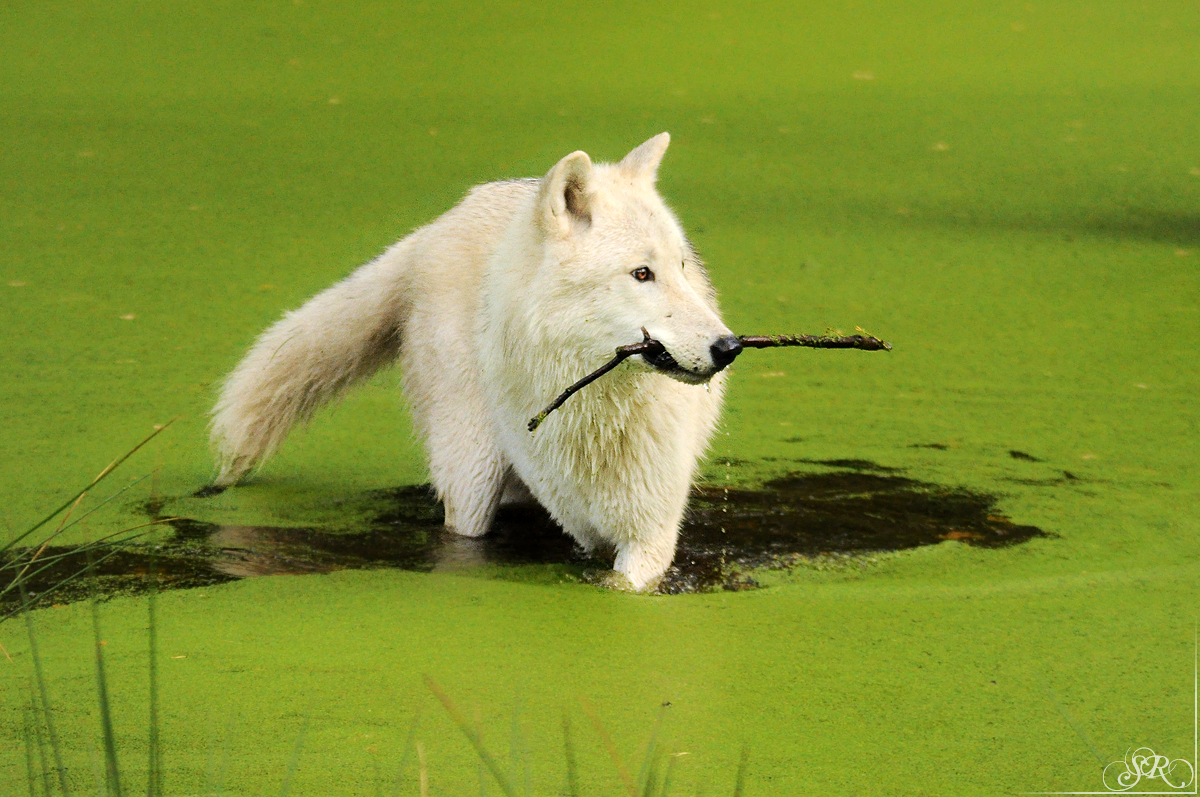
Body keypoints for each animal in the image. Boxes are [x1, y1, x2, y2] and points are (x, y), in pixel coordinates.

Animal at [211, 133, 744, 588]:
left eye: (680, 268)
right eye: (641, 273)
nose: (729, 347)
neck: (595, 409)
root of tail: (437, 226)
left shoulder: (647, 531)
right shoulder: (580, 515)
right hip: (471, 468)